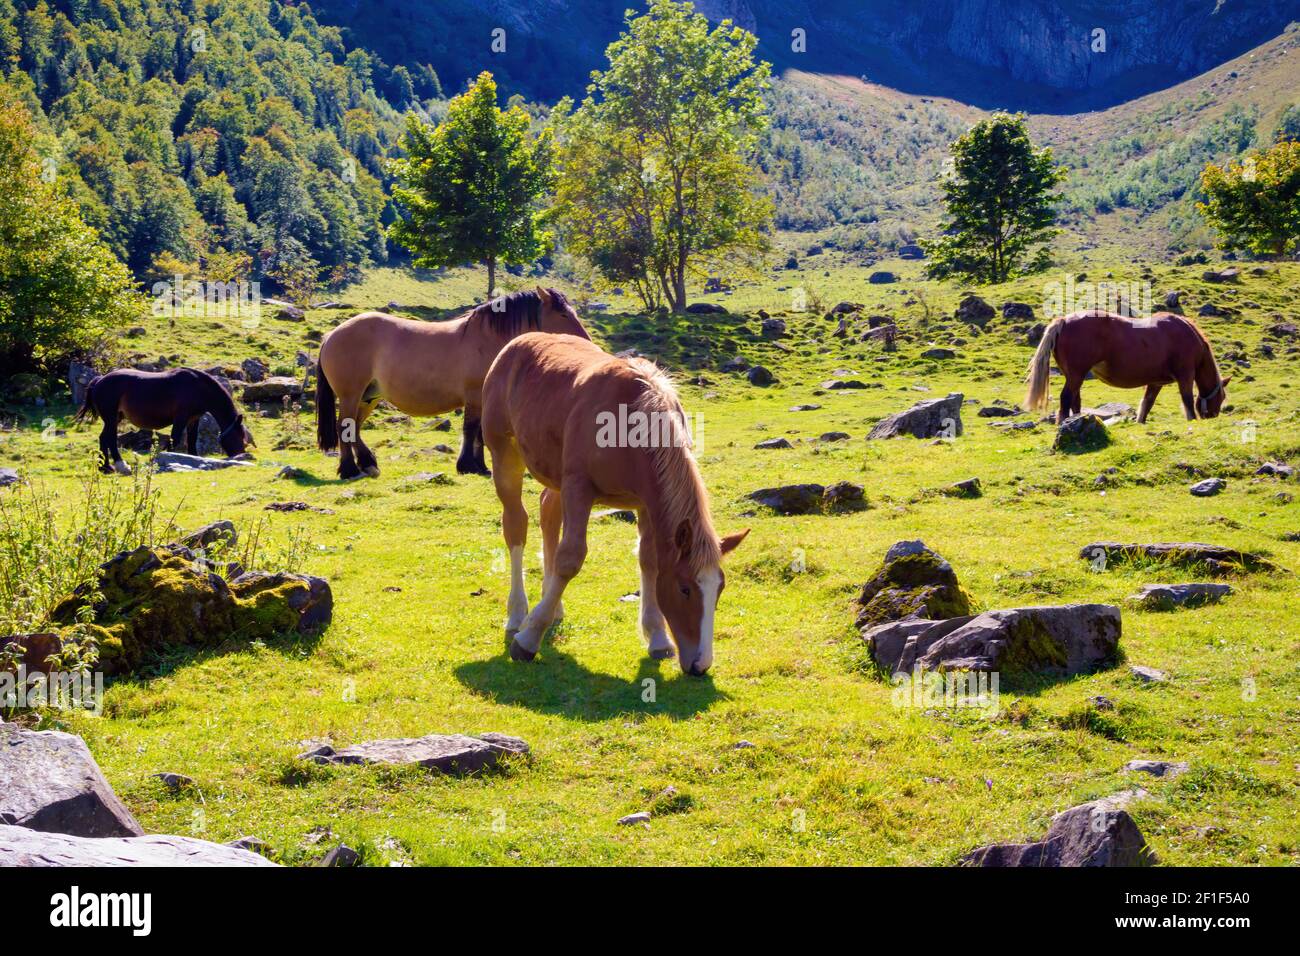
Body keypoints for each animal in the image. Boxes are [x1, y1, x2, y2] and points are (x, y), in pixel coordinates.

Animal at [76, 366, 253, 476]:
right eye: (239, 438)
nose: (241, 456)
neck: (198, 388)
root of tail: (99, 380)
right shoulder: (181, 418)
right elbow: (175, 439)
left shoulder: (193, 419)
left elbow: (192, 440)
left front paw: (195, 460)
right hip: (112, 419)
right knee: (111, 439)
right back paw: (121, 466)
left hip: (114, 419)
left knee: (103, 438)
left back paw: (106, 467)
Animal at [312, 283, 587, 478]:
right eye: (563, 314)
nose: (586, 340)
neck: (486, 339)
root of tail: (332, 335)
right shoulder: (474, 397)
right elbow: (471, 429)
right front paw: (467, 465)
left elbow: (479, 433)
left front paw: (480, 466)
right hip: (351, 395)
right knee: (345, 426)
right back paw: (349, 469)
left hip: (369, 397)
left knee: (355, 428)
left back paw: (367, 463)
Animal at [483, 332, 754, 676]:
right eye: (685, 589)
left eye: (720, 588)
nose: (700, 664)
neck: (630, 425)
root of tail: (517, 343)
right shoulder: (579, 488)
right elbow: (570, 558)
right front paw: (528, 639)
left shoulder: (646, 503)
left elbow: (649, 561)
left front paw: (657, 637)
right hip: (505, 456)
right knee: (516, 525)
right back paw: (519, 614)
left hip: (555, 478)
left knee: (548, 514)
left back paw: (552, 606)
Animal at [1024, 310, 1227, 421]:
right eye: (1222, 397)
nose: (1212, 416)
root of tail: (1064, 321)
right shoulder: (1186, 376)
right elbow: (1187, 400)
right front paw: (1192, 419)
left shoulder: (1156, 383)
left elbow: (1147, 403)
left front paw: (1140, 422)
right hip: (1076, 375)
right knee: (1066, 398)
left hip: (1075, 377)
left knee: (1075, 399)